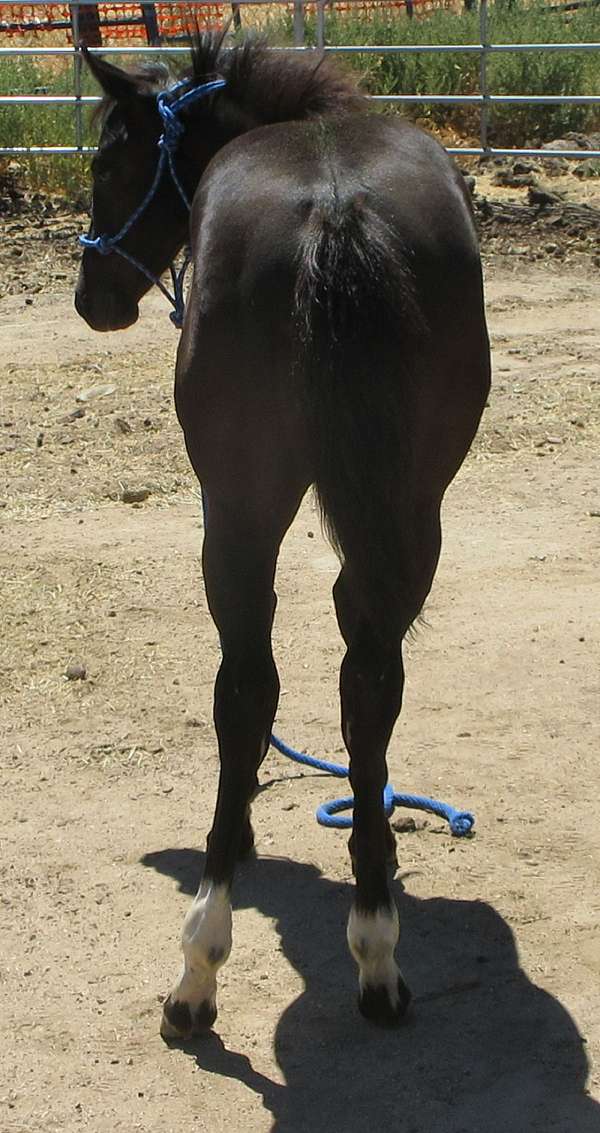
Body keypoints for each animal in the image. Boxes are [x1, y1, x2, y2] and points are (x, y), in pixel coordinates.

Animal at [75, 31, 491, 1036]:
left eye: (107, 161)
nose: (89, 294)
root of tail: (336, 210)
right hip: (410, 513)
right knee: (369, 680)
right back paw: (377, 949)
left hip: (236, 509)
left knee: (245, 690)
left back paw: (200, 966)